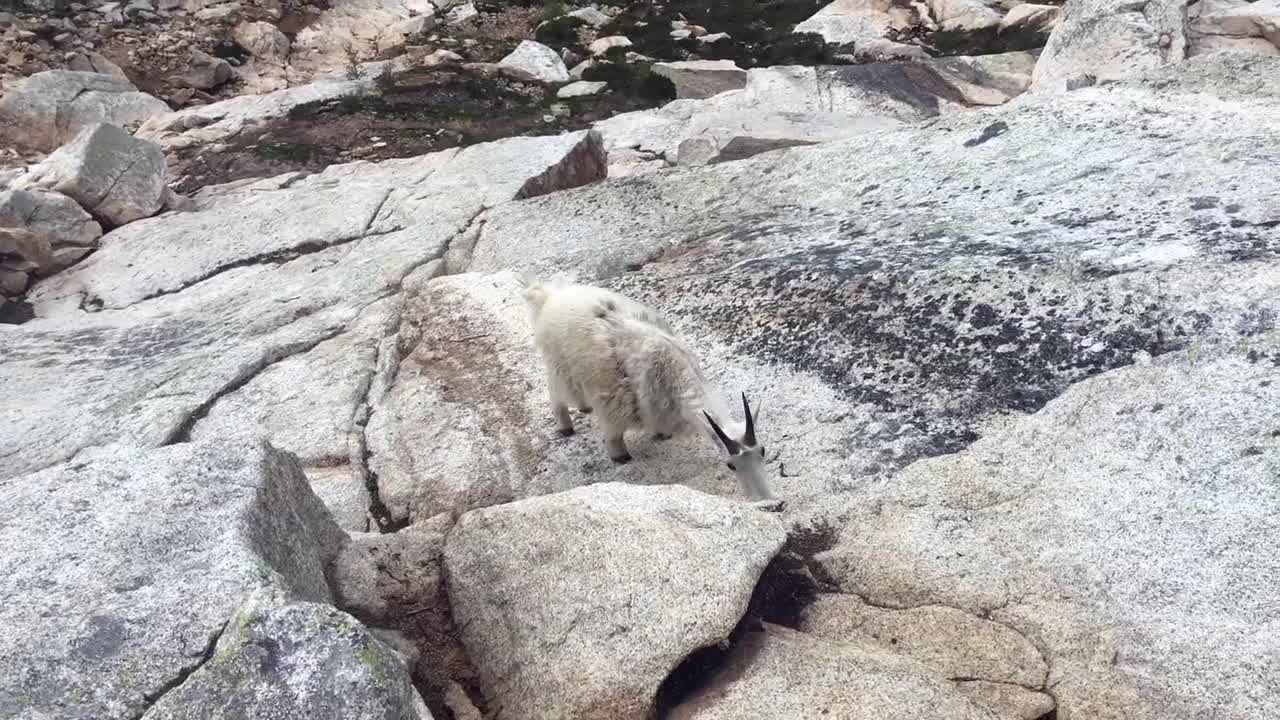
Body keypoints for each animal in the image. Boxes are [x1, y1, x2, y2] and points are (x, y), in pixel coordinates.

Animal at [519, 271, 778, 502]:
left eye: (763, 451)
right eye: (730, 465)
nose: (768, 501)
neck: (670, 366)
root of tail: (549, 297)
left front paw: (661, 435)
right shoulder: (617, 400)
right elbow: (613, 433)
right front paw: (620, 457)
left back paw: (585, 408)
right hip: (560, 365)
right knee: (556, 394)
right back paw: (565, 426)